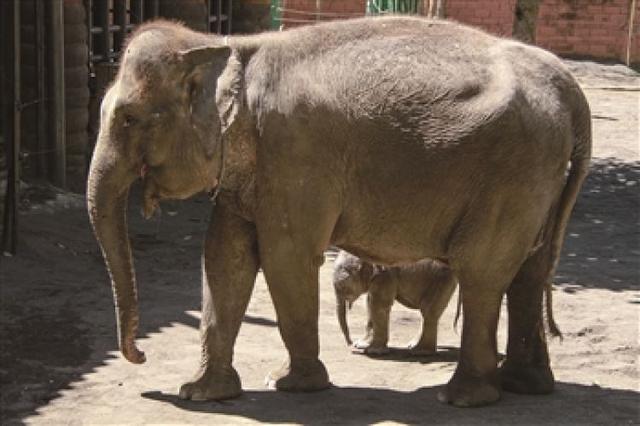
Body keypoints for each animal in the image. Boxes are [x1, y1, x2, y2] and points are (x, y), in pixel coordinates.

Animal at [87, 15, 592, 406]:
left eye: (128, 119)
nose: (140, 356)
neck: (232, 48)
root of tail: (568, 85)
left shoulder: (296, 157)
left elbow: (285, 258)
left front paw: (291, 385)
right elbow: (225, 258)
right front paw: (201, 394)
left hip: (513, 171)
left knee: (482, 271)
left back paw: (462, 397)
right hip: (539, 177)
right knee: (528, 271)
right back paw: (525, 386)